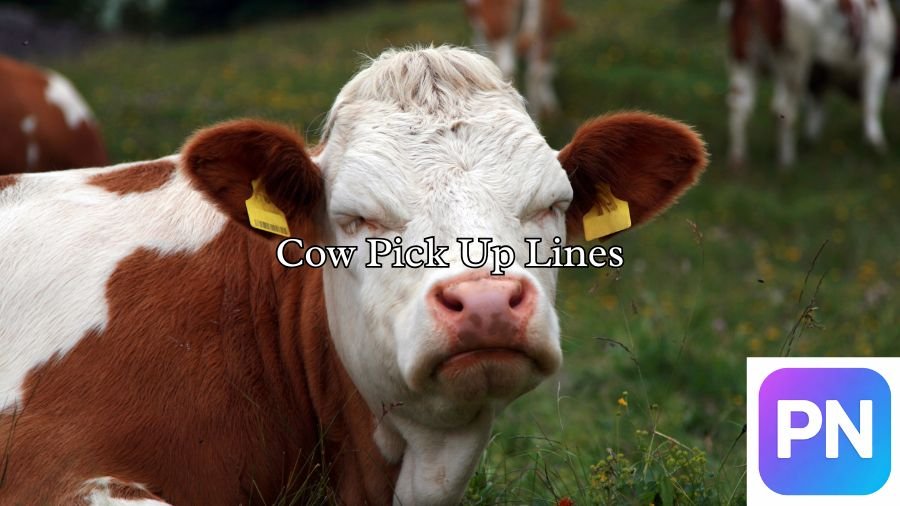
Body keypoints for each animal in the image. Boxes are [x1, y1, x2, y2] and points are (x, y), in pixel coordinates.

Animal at [725, 0, 897, 168]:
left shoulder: (817, 75)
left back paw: (738, 160)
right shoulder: (877, 61)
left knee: (739, 106)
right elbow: (871, 104)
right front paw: (877, 144)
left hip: (744, 57)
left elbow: (816, 108)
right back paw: (787, 164)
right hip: (796, 61)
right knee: (785, 110)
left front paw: (810, 139)